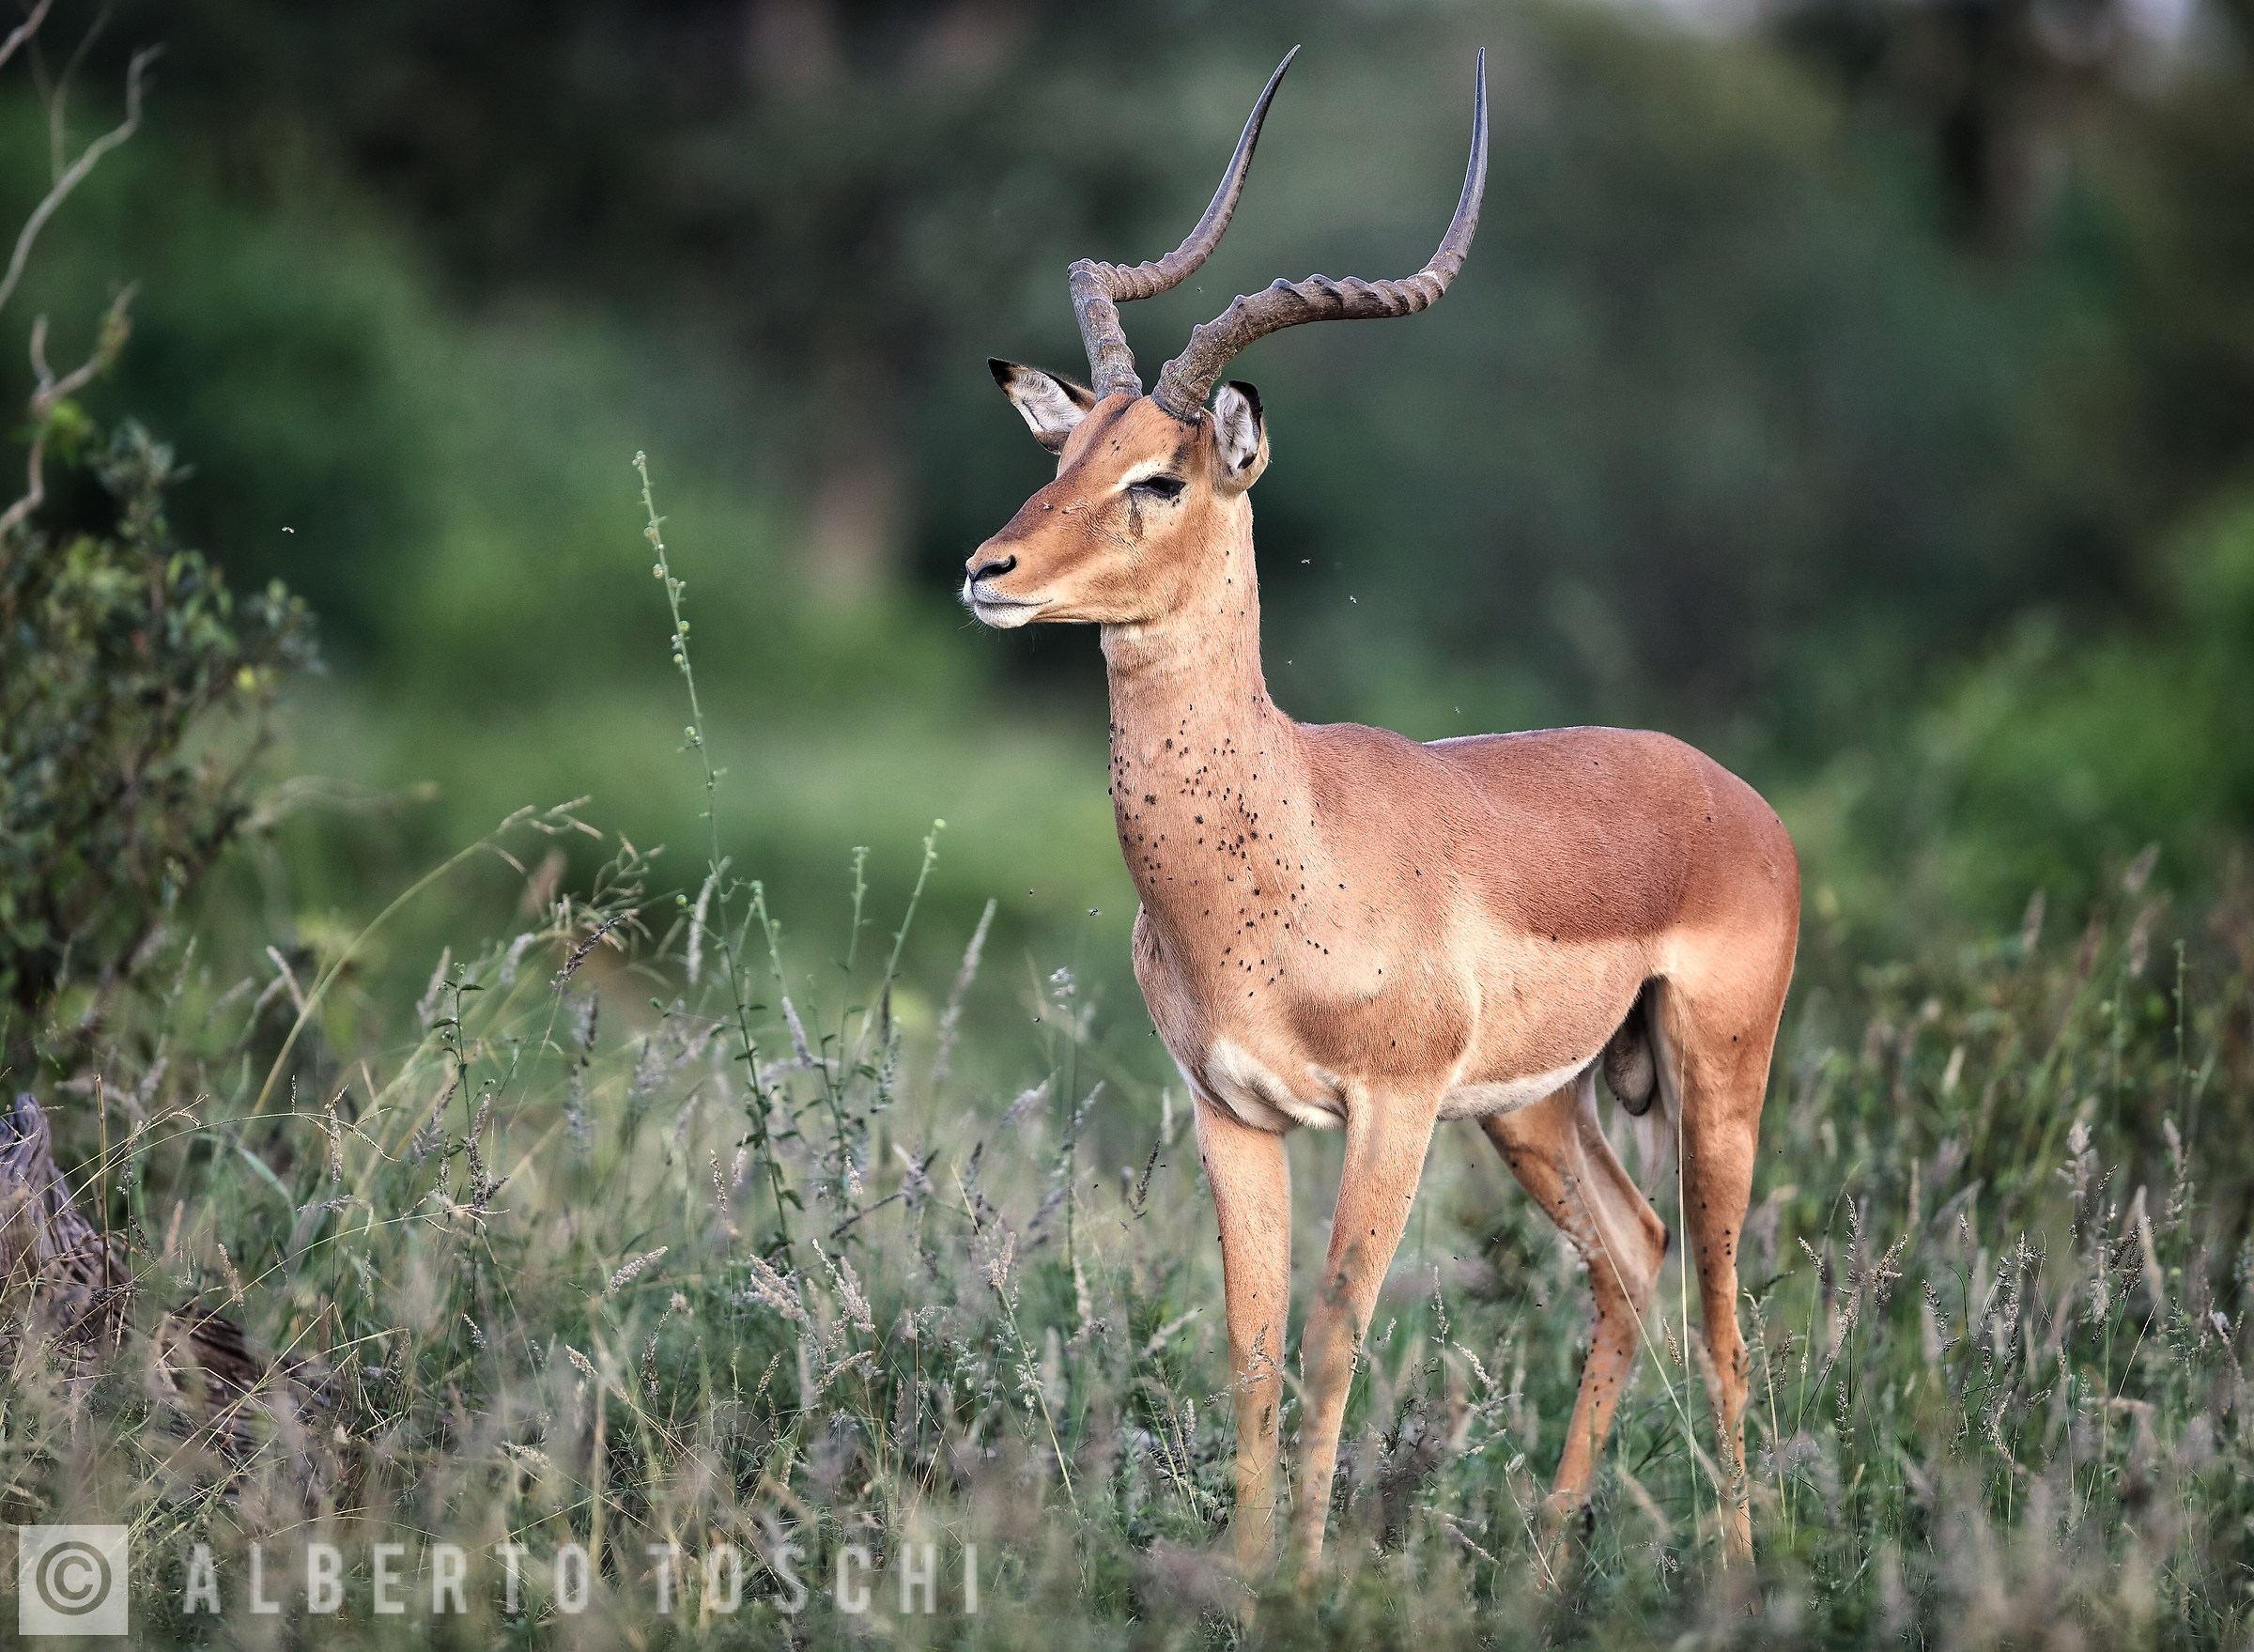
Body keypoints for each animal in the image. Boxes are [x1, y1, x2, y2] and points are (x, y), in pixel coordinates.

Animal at [962, 48, 1799, 1571]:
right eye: (1065, 457)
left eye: (1160, 474)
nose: (990, 570)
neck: (1274, 842)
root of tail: (1730, 792)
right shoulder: (1232, 1112)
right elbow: (1248, 1344)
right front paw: (1242, 1576)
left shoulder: (1391, 1109)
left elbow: (1336, 1333)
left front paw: (1301, 1574)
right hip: (1537, 1109)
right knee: (1632, 1253)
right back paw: (1544, 1558)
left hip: (1716, 1074)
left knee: (1717, 1303)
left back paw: (1737, 1571)